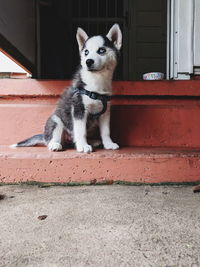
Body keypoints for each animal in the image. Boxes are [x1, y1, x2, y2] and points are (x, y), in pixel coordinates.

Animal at [12, 24, 123, 154]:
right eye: (86, 52)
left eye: (101, 50)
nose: (88, 61)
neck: (96, 82)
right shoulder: (79, 110)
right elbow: (80, 131)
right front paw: (83, 145)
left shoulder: (105, 113)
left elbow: (106, 131)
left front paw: (109, 144)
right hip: (56, 121)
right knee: (53, 138)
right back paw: (55, 144)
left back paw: (92, 141)